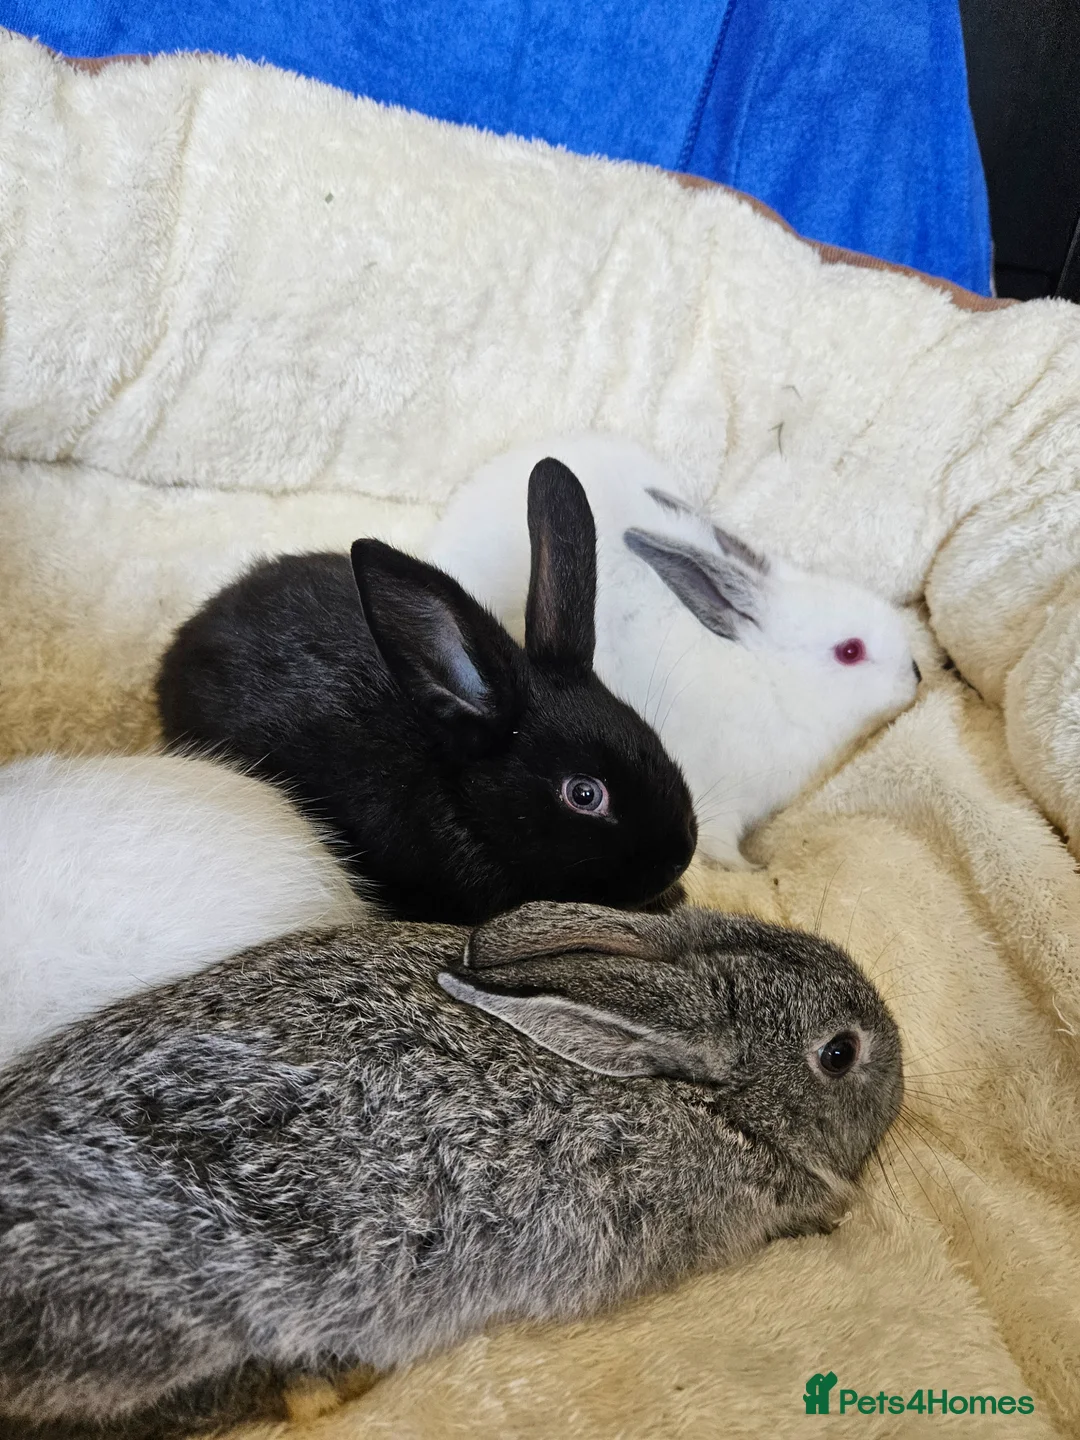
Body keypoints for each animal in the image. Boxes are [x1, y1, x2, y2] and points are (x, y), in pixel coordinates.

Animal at [428, 434, 921, 869]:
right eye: (850, 651)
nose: (916, 675)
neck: (770, 680)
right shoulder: (721, 799)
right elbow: (722, 846)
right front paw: (751, 868)